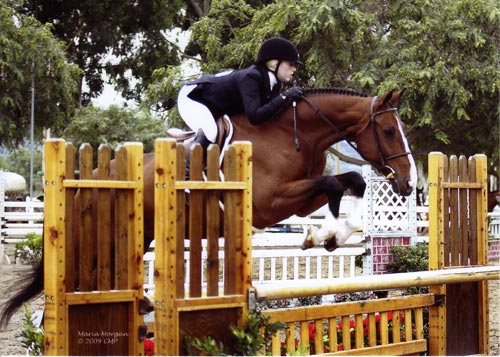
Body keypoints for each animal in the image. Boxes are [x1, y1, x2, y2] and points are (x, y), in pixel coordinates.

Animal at [0, 86, 418, 326]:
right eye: (387, 131)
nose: (408, 181)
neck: (294, 134)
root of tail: (88, 177)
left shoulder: (296, 198)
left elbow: (351, 183)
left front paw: (329, 236)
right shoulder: (268, 202)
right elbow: (335, 183)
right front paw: (323, 236)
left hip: (139, 233)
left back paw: (142, 305)